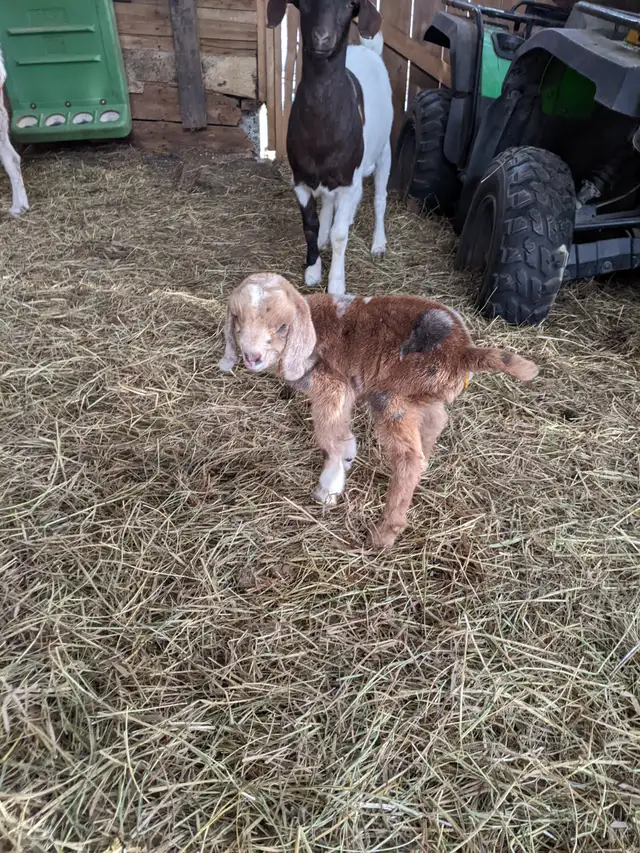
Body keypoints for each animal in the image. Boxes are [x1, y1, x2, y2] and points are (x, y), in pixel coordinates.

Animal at [219, 274, 539, 549]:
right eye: (238, 321)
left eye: (283, 327)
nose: (252, 356)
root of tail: (463, 352)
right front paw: (346, 460)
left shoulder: (332, 387)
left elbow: (331, 437)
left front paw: (328, 488)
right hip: (414, 396)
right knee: (436, 422)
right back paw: (426, 463)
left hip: (391, 398)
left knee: (408, 459)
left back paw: (384, 533)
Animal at [267, 0, 393, 296]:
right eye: (304, 3)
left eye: (349, 5)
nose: (322, 38)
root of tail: (369, 50)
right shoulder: (300, 179)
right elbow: (310, 225)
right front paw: (313, 270)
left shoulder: (349, 180)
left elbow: (340, 234)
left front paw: (336, 284)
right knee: (328, 203)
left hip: (384, 151)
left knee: (379, 198)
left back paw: (378, 244)